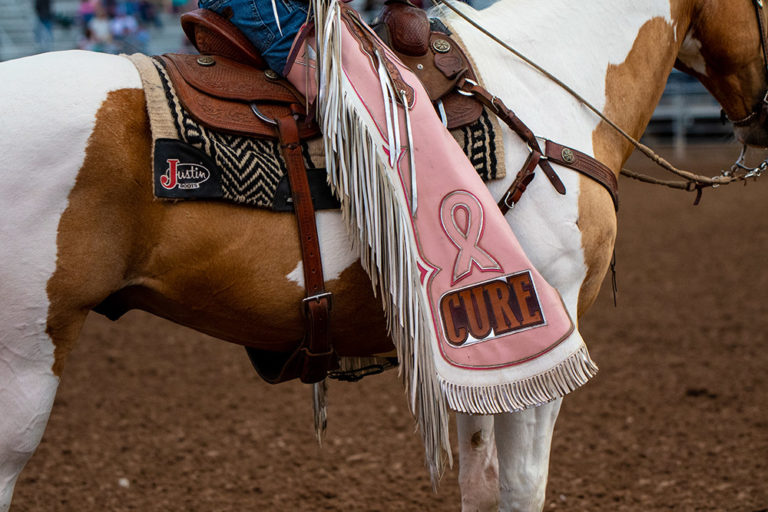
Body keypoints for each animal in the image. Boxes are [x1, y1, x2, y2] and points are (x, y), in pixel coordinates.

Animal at [0, 0, 764, 510]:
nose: (763, 122)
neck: (541, 94)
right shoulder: (546, 339)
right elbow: (522, 489)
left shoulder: (481, 359)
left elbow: (481, 485)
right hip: (26, 363)